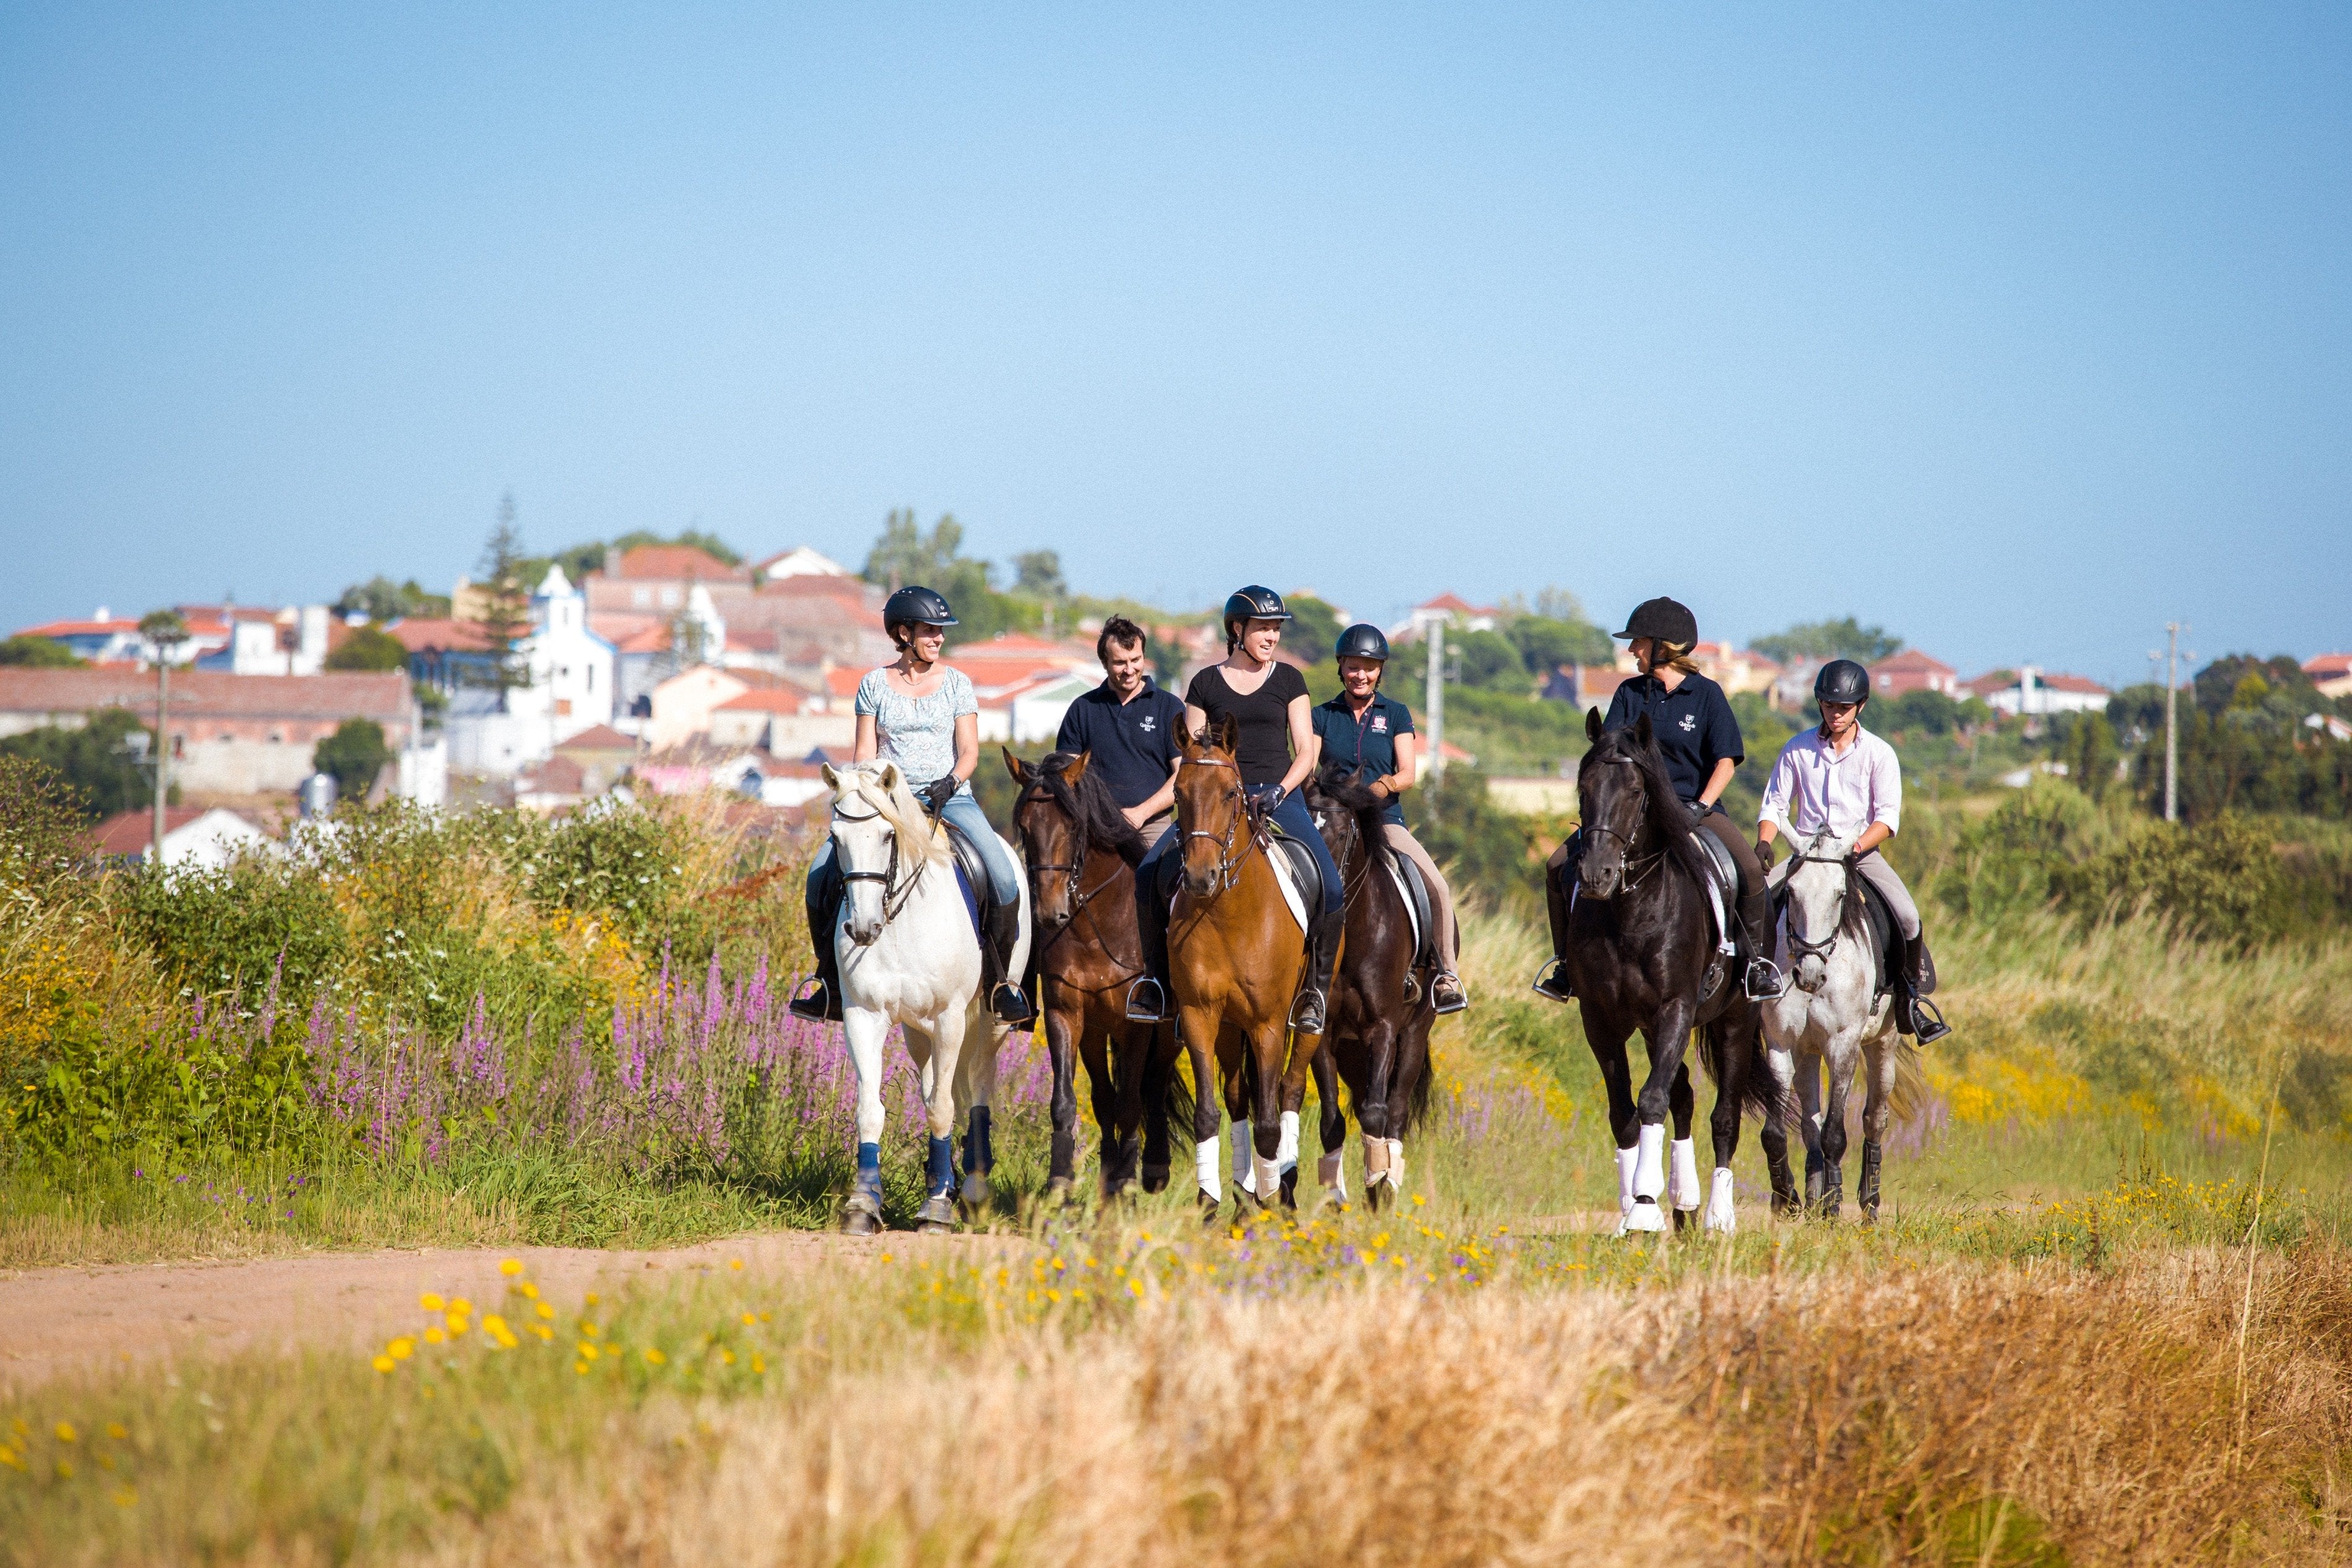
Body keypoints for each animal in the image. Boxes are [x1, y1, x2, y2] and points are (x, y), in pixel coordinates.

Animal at [818, 761, 1030, 1241]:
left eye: (886, 835)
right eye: (836, 838)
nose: (862, 929)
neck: (898, 918)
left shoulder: (951, 1017)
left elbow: (941, 1110)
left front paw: (936, 1209)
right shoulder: (863, 1016)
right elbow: (871, 1109)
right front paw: (864, 1204)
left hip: (988, 1021)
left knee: (976, 1088)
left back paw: (969, 1188)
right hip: (918, 1030)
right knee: (937, 1081)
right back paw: (946, 1180)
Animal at [997, 747, 1176, 1203]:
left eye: (1073, 825)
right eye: (1025, 827)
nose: (1049, 912)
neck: (1097, 925)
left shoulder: (1135, 1025)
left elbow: (1131, 1102)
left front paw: (1127, 1182)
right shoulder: (1066, 1014)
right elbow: (1069, 1101)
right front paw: (1062, 1179)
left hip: (1169, 1031)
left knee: (1154, 1084)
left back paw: (1152, 1168)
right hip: (1096, 1031)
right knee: (1104, 1097)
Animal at [1171, 709, 1326, 1213]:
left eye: (1229, 793)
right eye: (1178, 792)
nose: (1200, 877)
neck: (1227, 912)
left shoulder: (1269, 1023)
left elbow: (1270, 1122)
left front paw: (1273, 1202)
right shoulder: (1200, 1015)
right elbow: (1208, 1113)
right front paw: (1209, 1202)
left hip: (1308, 1017)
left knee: (1288, 1090)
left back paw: (1282, 1189)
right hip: (1228, 1025)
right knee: (1240, 1096)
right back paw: (1244, 1193)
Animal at [1298, 766, 1439, 1213]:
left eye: (1344, 833)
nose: (1321, 892)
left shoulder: (1383, 1030)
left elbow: (1377, 1112)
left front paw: (1378, 1184)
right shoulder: (1324, 1032)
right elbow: (1332, 1120)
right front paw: (1335, 1198)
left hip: (1412, 1036)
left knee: (1394, 1111)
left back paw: (1387, 1184)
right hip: (1351, 1050)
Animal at [1561, 705, 1797, 1231]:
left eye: (1635, 790)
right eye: (1583, 787)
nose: (1596, 876)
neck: (1631, 909)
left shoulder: (1675, 1007)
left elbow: (1652, 1099)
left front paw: (1645, 1207)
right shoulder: (1600, 1018)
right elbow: (1624, 1109)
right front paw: (1631, 1206)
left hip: (1735, 1019)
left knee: (1723, 1113)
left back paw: (1717, 1214)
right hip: (1652, 1026)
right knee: (1683, 1094)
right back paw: (1684, 1200)